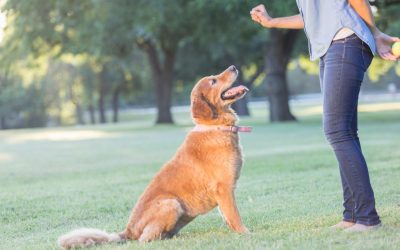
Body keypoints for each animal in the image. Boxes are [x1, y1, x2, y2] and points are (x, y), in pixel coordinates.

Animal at [57, 65, 250, 249]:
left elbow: (227, 216)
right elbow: (235, 216)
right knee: (145, 239)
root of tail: (128, 231)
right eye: (213, 81)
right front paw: (245, 233)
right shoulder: (223, 188)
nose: (233, 67)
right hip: (171, 204)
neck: (215, 127)